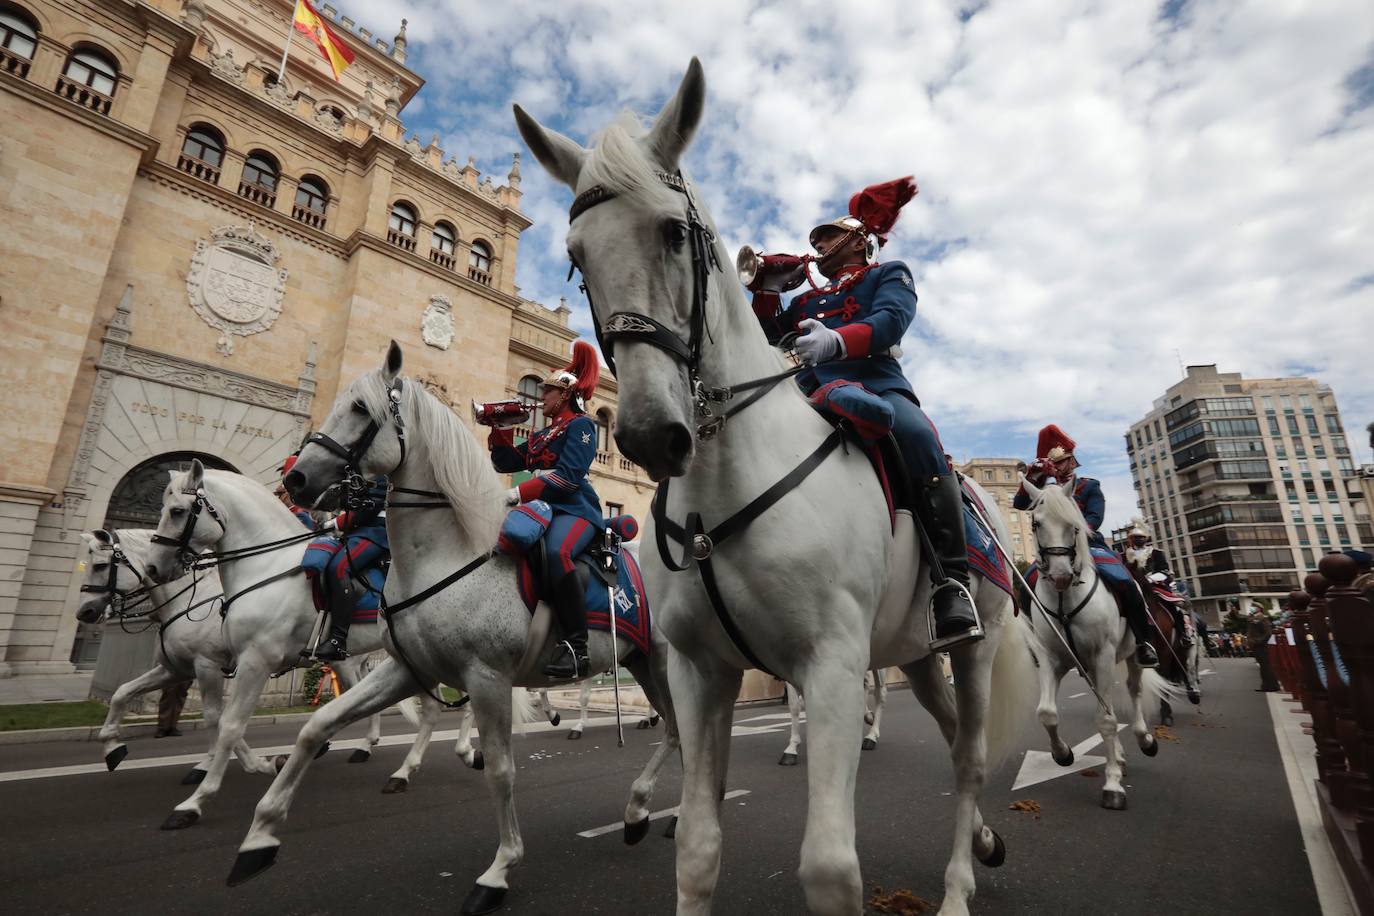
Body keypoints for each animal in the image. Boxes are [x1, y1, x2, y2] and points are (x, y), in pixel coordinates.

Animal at [76, 532, 280, 785]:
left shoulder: (207, 666)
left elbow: (214, 716)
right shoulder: (176, 670)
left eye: (100, 565)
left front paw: (210, 765)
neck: (188, 601)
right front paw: (112, 747)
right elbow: (122, 692)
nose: (83, 613)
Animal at [137, 469, 445, 829]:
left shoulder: (254, 661)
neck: (267, 567)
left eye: (177, 511)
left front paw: (195, 802)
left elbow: (229, 725)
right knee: (432, 708)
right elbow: (221, 720)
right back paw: (403, 771)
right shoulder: (231, 663)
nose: (153, 568)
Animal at [230, 347, 687, 911]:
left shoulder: (486, 677)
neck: (446, 554)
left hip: (667, 663)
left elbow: (501, 771)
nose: (296, 481)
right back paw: (640, 814)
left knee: (685, 730)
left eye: (359, 408)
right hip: (643, 661)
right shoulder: (408, 669)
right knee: (675, 731)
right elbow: (318, 725)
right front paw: (259, 836)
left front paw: (499, 870)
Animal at [516, 59, 1038, 916]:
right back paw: (989, 840)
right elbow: (696, 846)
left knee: (968, 756)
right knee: (951, 732)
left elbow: (829, 867)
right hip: (917, 654)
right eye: (574, 255)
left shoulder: (830, 667)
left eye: (673, 231)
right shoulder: (700, 672)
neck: (722, 489)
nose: (650, 435)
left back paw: (960, 886)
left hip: (978, 641)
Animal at [1022, 480, 1170, 807]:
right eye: (1037, 523)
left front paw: (1112, 785)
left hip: (1129, 656)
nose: (1061, 576)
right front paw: (1063, 754)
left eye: (1073, 525)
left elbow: (1106, 721)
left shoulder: (1102, 655)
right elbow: (1046, 713)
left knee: (1132, 691)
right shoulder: (1052, 658)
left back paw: (1145, 740)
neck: (1064, 599)